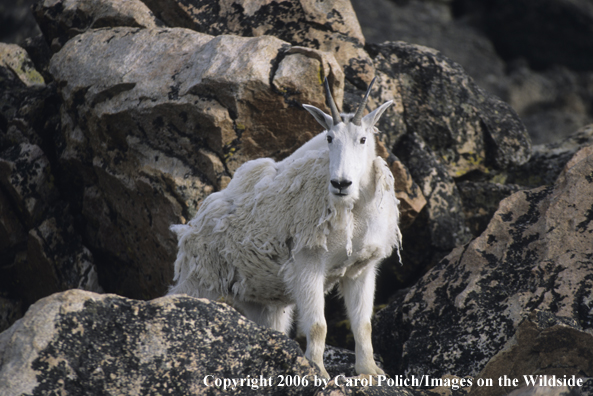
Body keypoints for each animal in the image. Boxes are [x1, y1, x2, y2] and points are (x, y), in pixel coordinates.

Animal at [171, 77, 402, 378]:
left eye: (363, 139)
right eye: (329, 138)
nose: (341, 184)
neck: (354, 211)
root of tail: (191, 226)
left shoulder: (359, 270)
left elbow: (363, 324)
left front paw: (370, 372)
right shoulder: (307, 262)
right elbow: (317, 325)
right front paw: (318, 371)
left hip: (262, 302)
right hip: (199, 280)